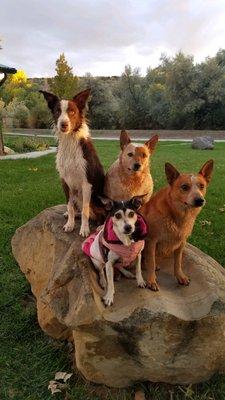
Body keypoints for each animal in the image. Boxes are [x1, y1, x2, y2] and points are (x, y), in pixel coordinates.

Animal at [40, 89, 105, 236]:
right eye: (57, 111)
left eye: (72, 112)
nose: (63, 124)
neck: (70, 140)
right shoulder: (65, 181)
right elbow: (69, 206)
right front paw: (70, 224)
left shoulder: (87, 183)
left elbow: (86, 210)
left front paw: (84, 229)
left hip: (96, 199)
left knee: (102, 214)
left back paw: (100, 226)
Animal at [142, 159, 214, 290]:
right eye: (185, 187)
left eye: (202, 186)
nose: (200, 200)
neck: (177, 216)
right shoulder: (151, 241)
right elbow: (151, 262)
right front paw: (151, 280)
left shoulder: (181, 242)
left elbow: (178, 262)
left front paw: (180, 276)